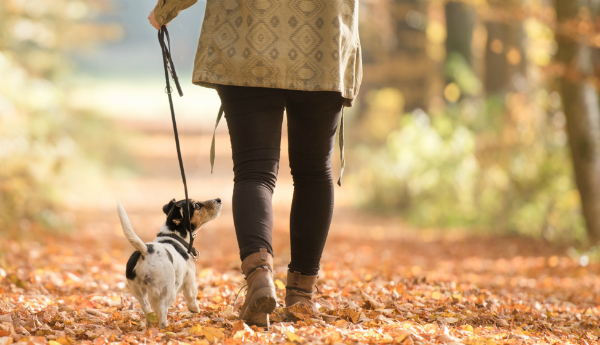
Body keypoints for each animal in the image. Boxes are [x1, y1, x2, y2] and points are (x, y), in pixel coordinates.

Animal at [116, 198, 221, 326]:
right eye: (197, 205)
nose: (219, 200)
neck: (174, 237)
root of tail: (146, 250)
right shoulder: (190, 278)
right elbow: (192, 296)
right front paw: (195, 309)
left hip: (139, 290)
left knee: (146, 307)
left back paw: (151, 325)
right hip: (169, 290)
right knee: (163, 307)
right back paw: (164, 326)